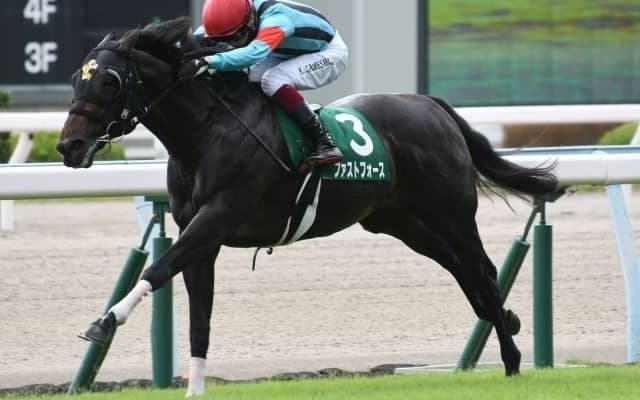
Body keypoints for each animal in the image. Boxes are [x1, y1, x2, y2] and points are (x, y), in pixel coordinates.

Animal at [56, 17, 558, 396]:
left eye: (109, 80)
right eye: (76, 79)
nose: (69, 146)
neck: (206, 132)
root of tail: (431, 105)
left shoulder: (218, 216)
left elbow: (158, 268)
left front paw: (104, 321)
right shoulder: (201, 236)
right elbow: (199, 316)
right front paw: (193, 389)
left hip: (451, 214)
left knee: (483, 273)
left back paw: (512, 360)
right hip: (404, 223)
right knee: (465, 274)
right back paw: (507, 322)